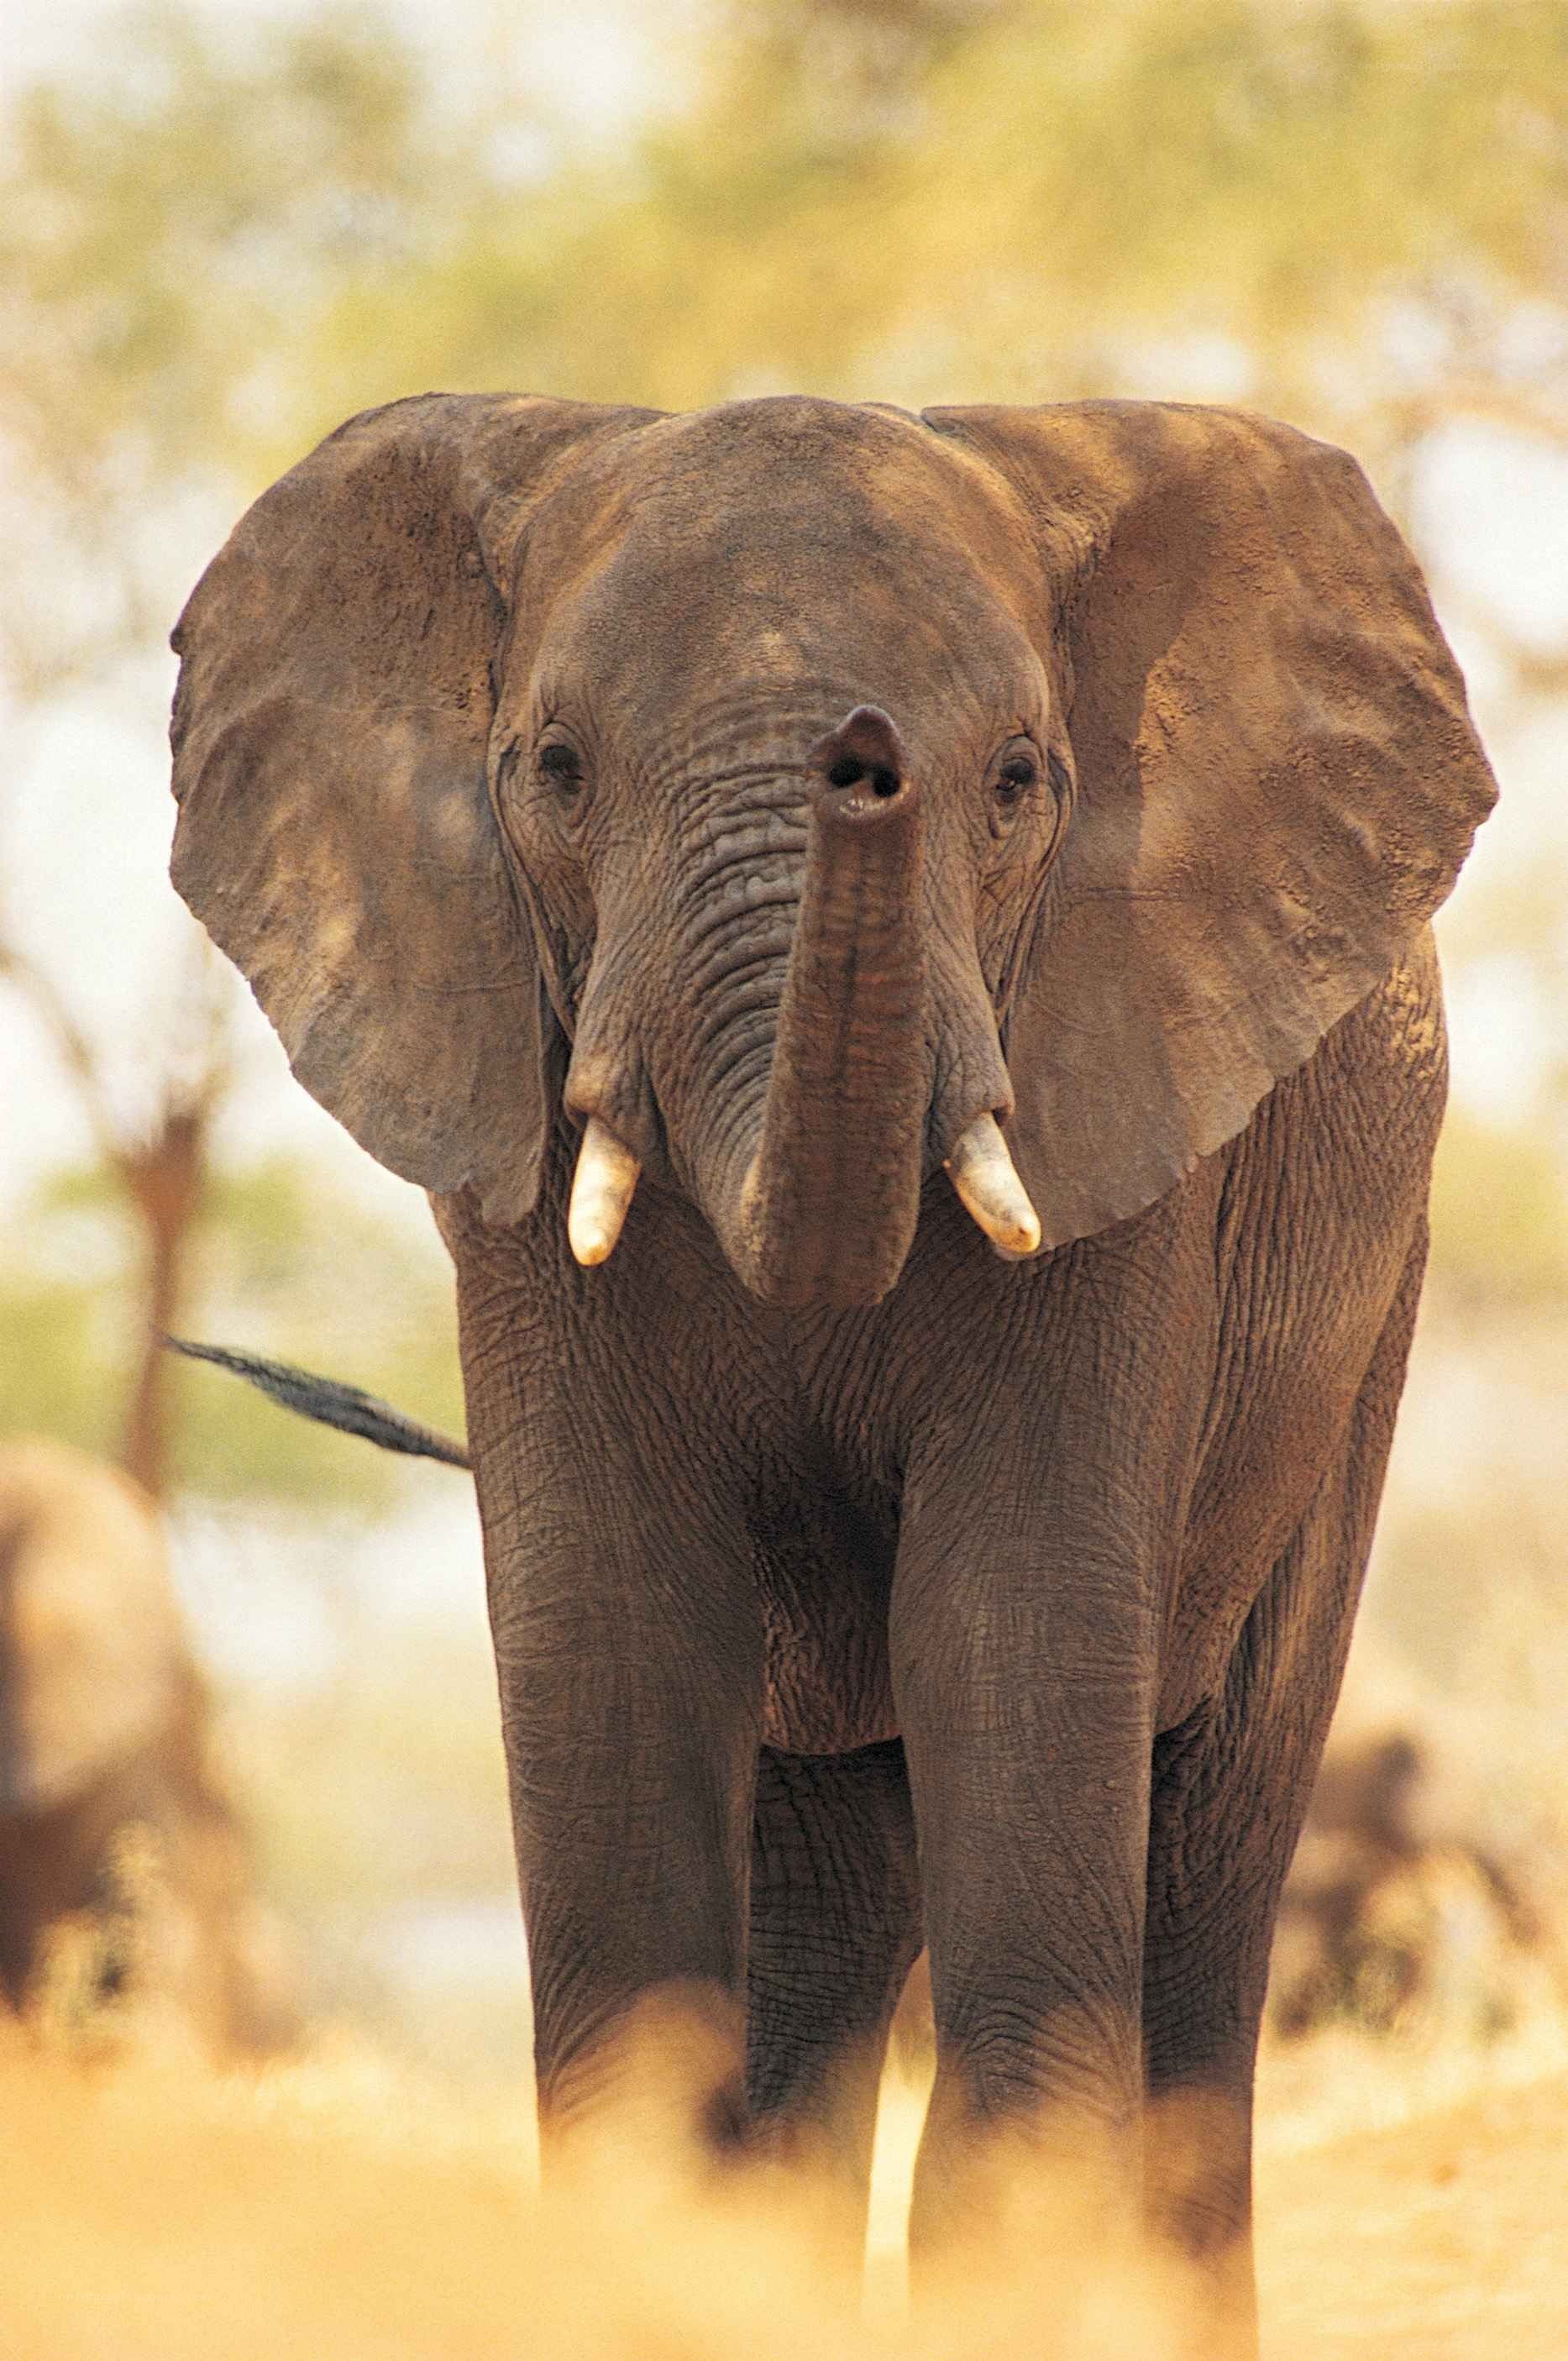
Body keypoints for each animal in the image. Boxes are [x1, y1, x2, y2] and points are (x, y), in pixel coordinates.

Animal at [167, 390, 1495, 2348]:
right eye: (553, 768)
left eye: (1019, 778)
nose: (864, 764)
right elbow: (613, 1631)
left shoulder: (1130, 1120)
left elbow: (1012, 1621)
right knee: (823, 1872)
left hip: (1366, 1310)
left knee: (1211, 1845)